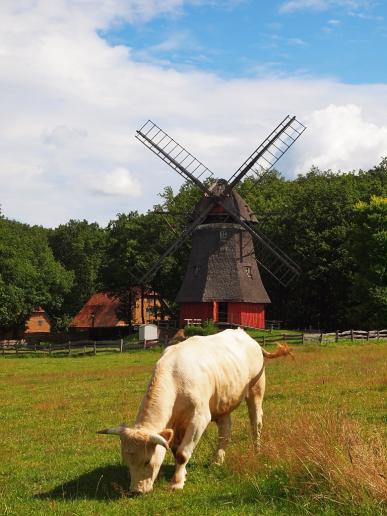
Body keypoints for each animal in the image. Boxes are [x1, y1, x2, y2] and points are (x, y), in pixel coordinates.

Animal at [97, 328, 292, 494]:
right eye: (126, 461)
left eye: (147, 461)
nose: (136, 491)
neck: (175, 379)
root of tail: (247, 336)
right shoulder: (175, 427)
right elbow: (175, 450)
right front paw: (181, 474)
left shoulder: (199, 418)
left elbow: (182, 454)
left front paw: (177, 482)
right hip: (223, 401)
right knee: (225, 431)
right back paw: (217, 460)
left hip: (256, 389)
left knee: (255, 421)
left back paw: (257, 450)